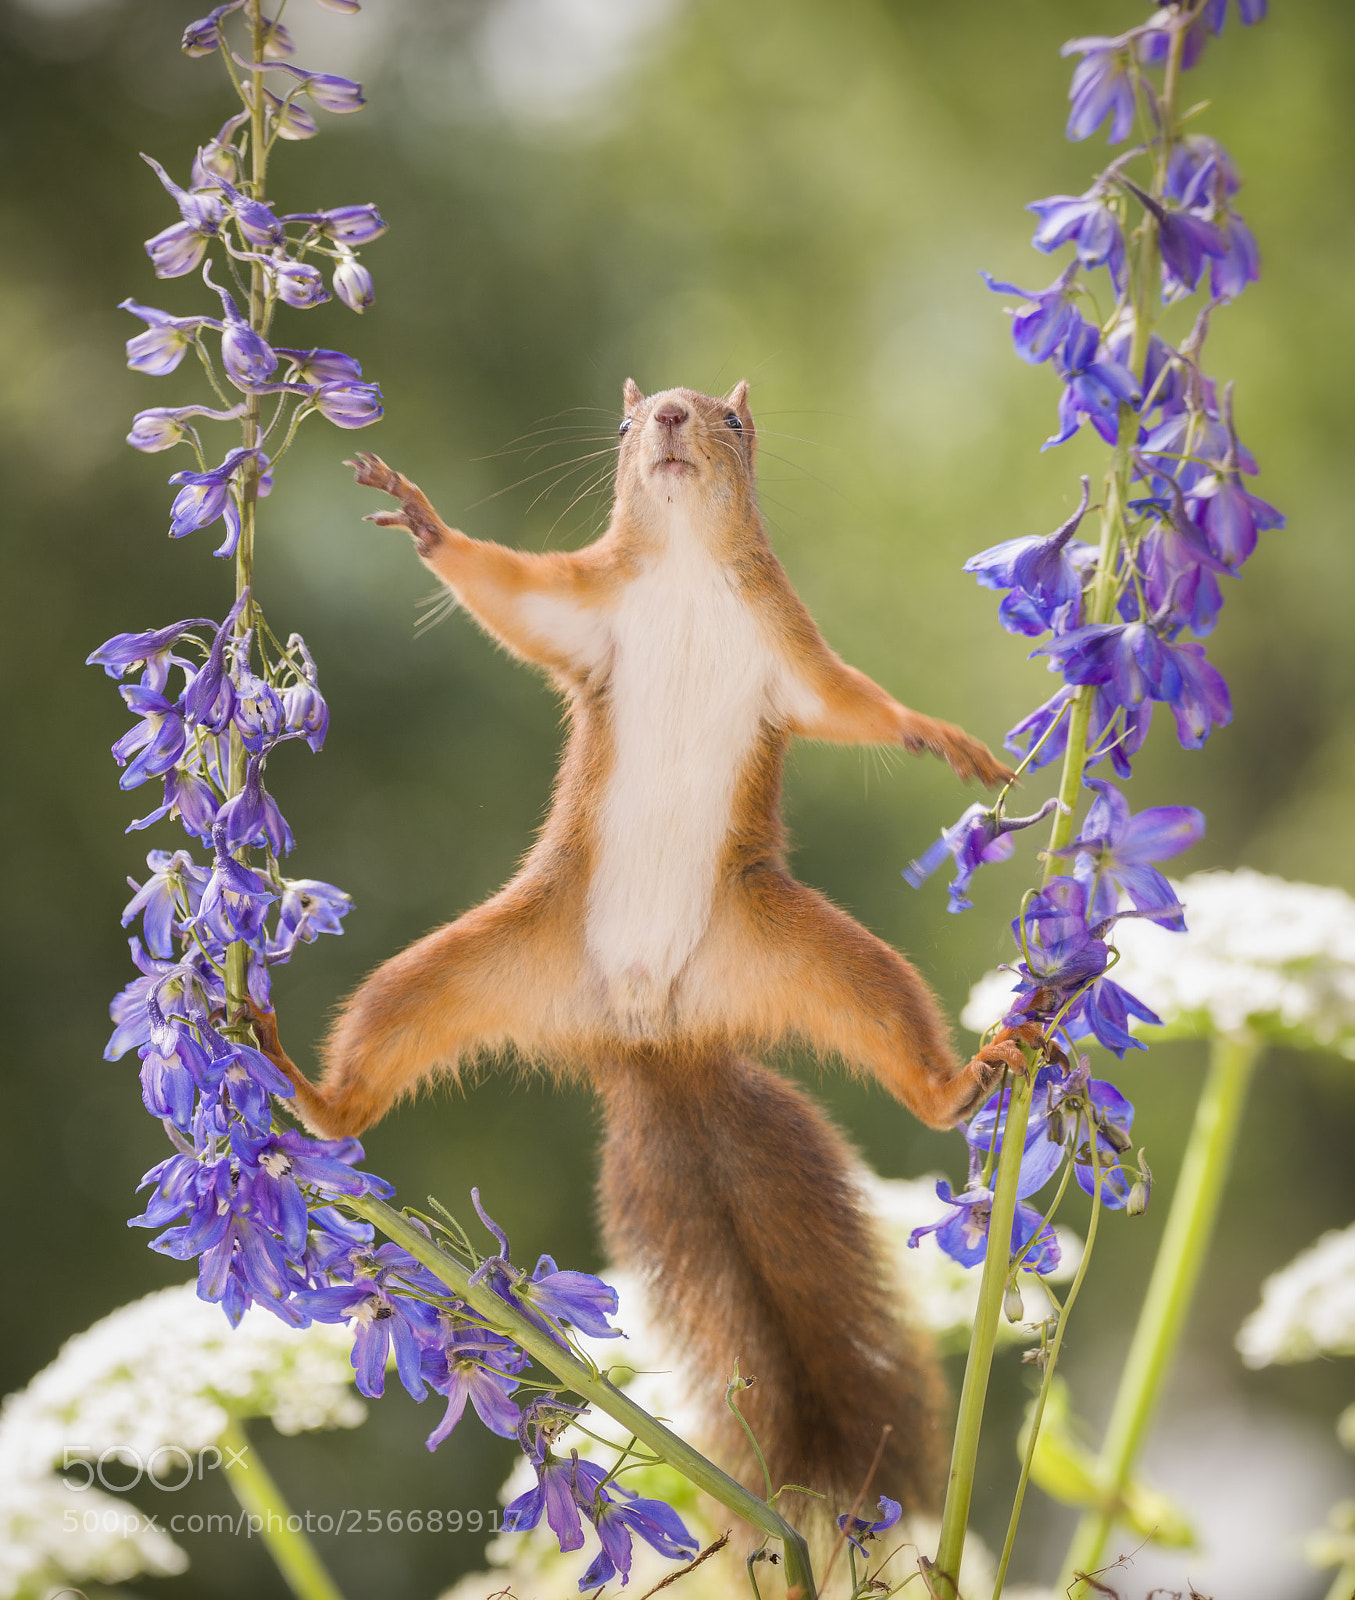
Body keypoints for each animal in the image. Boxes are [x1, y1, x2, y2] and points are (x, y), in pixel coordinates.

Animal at [253, 379, 1029, 1518]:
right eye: (626, 424)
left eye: (733, 422)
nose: (666, 414)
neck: (683, 570)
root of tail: (649, 1034)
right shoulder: (580, 605)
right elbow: (506, 591)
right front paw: (423, 519)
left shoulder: (792, 654)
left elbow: (856, 704)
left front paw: (941, 736)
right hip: (463, 969)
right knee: (371, 1059)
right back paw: (303, 1090)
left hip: (815, 958)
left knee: (903, 1043)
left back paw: (966, 1076)